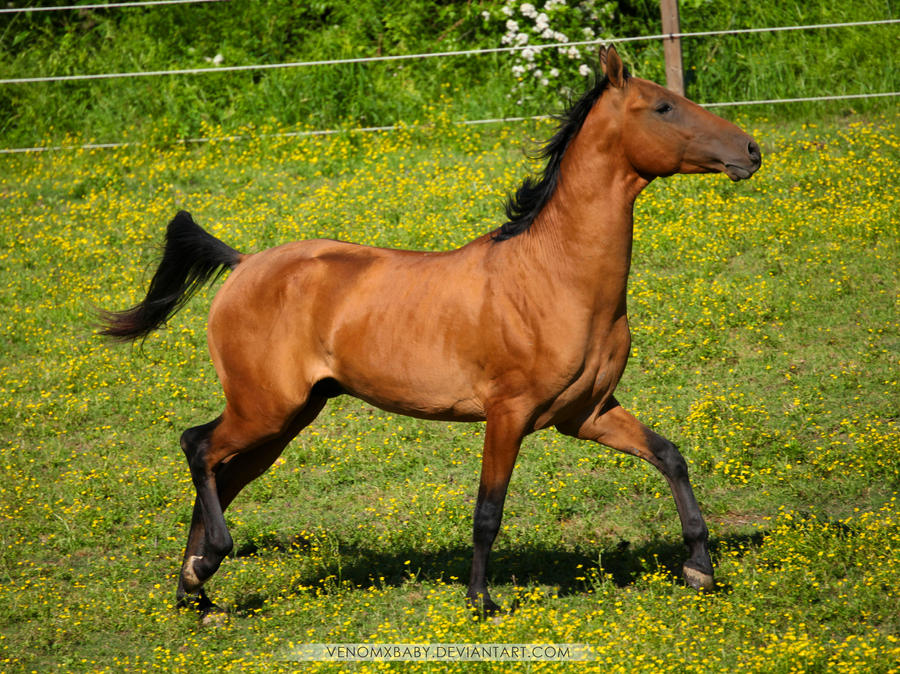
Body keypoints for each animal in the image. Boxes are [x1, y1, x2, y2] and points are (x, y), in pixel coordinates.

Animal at [102, 46, 760, 616]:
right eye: (663, 108)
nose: (751, 151)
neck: (554, 276)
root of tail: (242, 265)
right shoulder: (508, 414)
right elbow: (488, 511)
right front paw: (481, 602)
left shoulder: (587, 413)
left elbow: (670, 456)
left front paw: (699, 569)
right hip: (264, 408)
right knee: (198, 447)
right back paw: (206, 566)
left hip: (287, 418)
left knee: (222, 472)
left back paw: (196, 592)